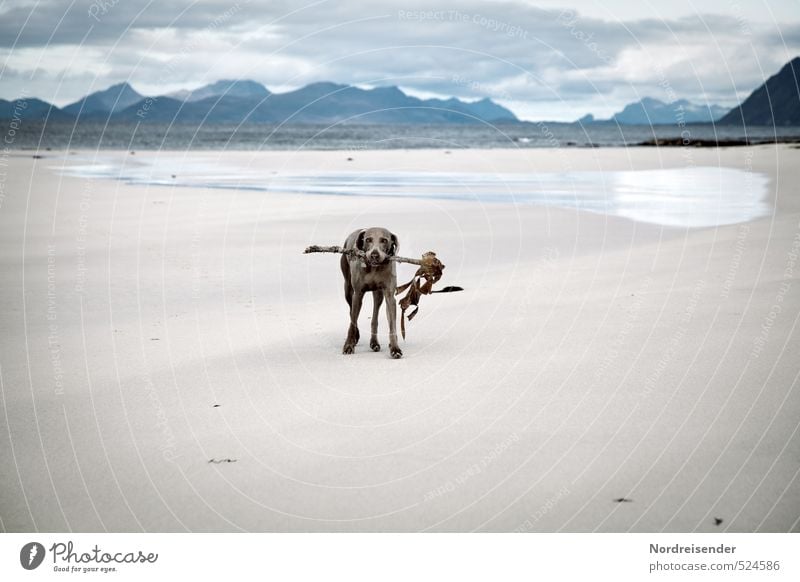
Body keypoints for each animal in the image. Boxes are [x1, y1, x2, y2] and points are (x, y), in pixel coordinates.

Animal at [340, 228, 404, 360]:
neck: (374, 269)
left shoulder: (390, 296)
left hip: (378, 294)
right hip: (348, 289)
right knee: (351, 312)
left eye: (384, 240)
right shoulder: (358, 294)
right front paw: (348, 345)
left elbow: (392, 325)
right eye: (368, 240)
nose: (374, 255)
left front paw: (395, 348)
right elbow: (353, 321)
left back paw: (374, 342)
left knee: (375, 315)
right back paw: (356, 336)